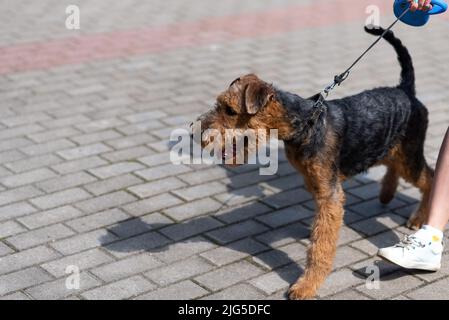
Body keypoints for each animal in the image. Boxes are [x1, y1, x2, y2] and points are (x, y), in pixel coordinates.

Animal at [192, 27, 434, 300]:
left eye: (231, 110)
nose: (195, 133)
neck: (304, 124)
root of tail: (406, 90)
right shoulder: (316, 184)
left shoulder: (331, 195)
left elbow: (320, 246)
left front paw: (305, 286)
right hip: (395, 148)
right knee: (397, 167)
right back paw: (386, 193)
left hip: (410, 154)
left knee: (429, 178)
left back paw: (418, 218)